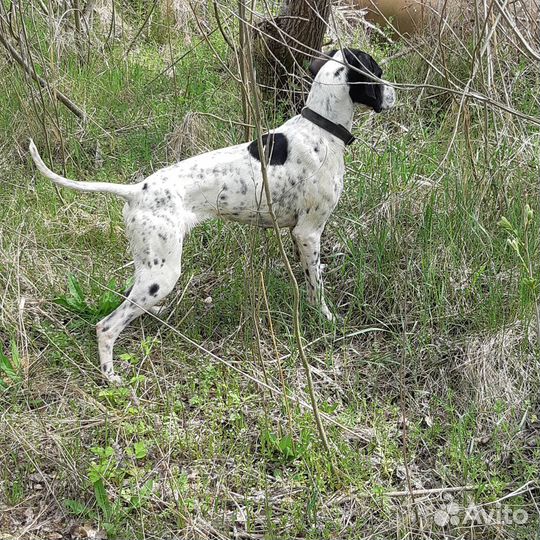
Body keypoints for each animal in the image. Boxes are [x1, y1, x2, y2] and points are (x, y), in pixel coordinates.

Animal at [29, 48, 394, 382]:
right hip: (163, 273)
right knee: (106, 326)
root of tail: (136, 191)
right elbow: (317, 286)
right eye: (377, 71)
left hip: (149, 268)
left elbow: (309, 276)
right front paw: (326, 319)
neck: (321, 130)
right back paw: (110, 376)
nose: (395, 92)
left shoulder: (297, 236)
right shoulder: (308, 232)